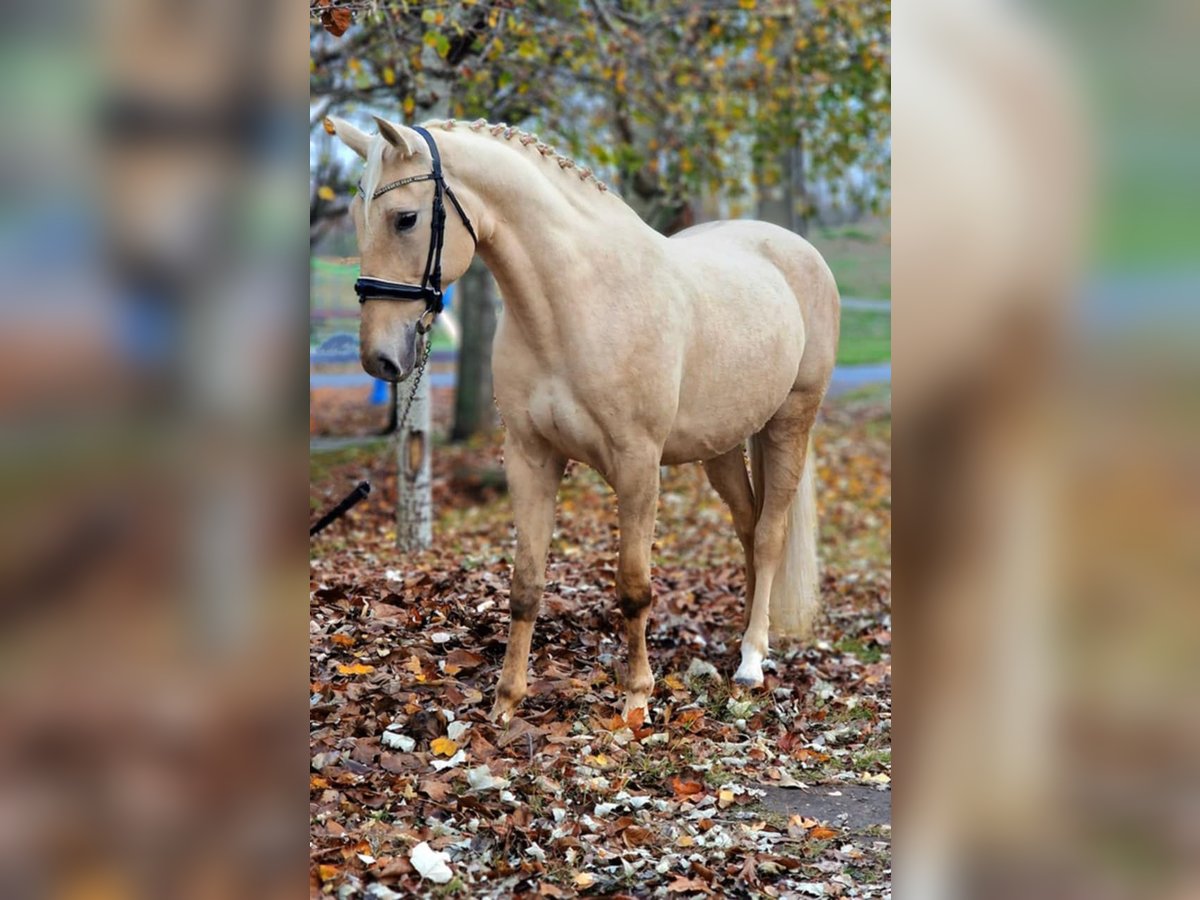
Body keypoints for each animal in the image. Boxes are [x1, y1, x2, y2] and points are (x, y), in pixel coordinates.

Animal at [327, 115, 840, 721]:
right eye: (355, 216)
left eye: (405, 218)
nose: (379, 358)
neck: (576, 302)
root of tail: (794, 250)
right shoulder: (529, 459)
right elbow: (525, 585)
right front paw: (505, 705)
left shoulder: (638, 465)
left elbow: (634, 586)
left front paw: (636, 699)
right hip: (721, 445)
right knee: (747, 525)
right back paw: (739, 639)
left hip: (790, 422)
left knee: (768, 535)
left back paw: (752, 660)